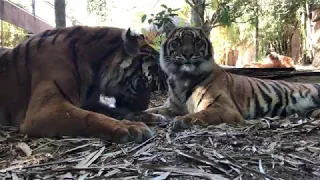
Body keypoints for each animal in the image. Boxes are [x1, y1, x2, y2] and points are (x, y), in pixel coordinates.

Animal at [0, 25, 156, 143]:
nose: (144, 107)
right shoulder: (44, 109)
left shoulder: (89, 103)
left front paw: (149, 116)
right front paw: (130, 127)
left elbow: (117, 111)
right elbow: (91, 116)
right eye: (142, 83)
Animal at [145, 26, 320, 130]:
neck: (182, 77)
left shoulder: (224, 108)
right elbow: (151, 109)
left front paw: (180, 120)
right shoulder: (171, 107)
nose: (187, 54)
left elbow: (200, 114)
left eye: (196, 41)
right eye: (178, 42)